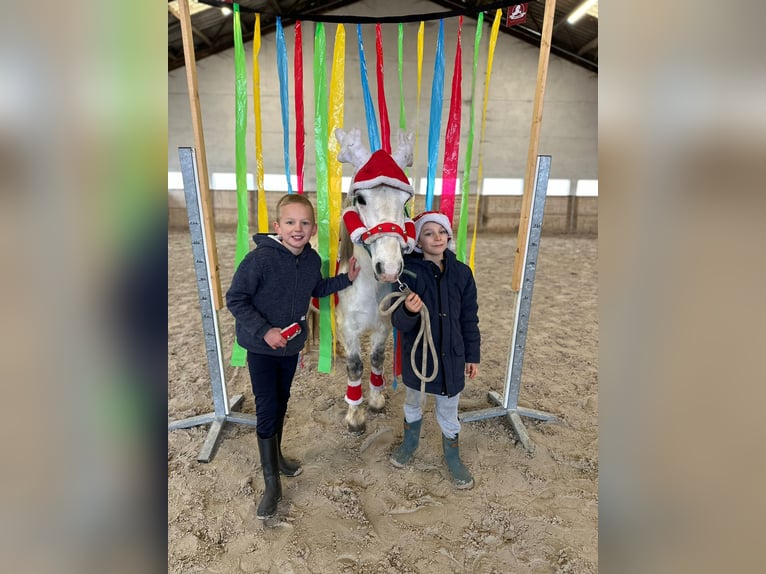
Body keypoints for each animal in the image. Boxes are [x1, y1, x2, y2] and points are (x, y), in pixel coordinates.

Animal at [334, 129, 416, 436]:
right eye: (361, 199)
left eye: (404, 202)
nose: (390, 268)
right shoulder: (349, 327)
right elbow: (356, 366)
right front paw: (355, 417)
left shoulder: (383, 325)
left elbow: (378, 359)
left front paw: (376, 401)